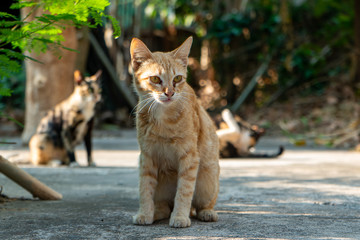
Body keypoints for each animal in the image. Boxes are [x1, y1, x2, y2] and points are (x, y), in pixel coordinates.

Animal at [129, 36, 219, 227]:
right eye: (155, 79)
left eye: (177, 78)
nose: (169, 93)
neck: (163, 119)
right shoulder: (146, 157)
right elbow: (145, 189)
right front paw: (145, 213)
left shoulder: (189, 158)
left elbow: (184, 191)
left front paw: (179, 217)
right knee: (164, 206)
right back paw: (156, 213)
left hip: (207, 182)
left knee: (200, 205)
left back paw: (206, 213)